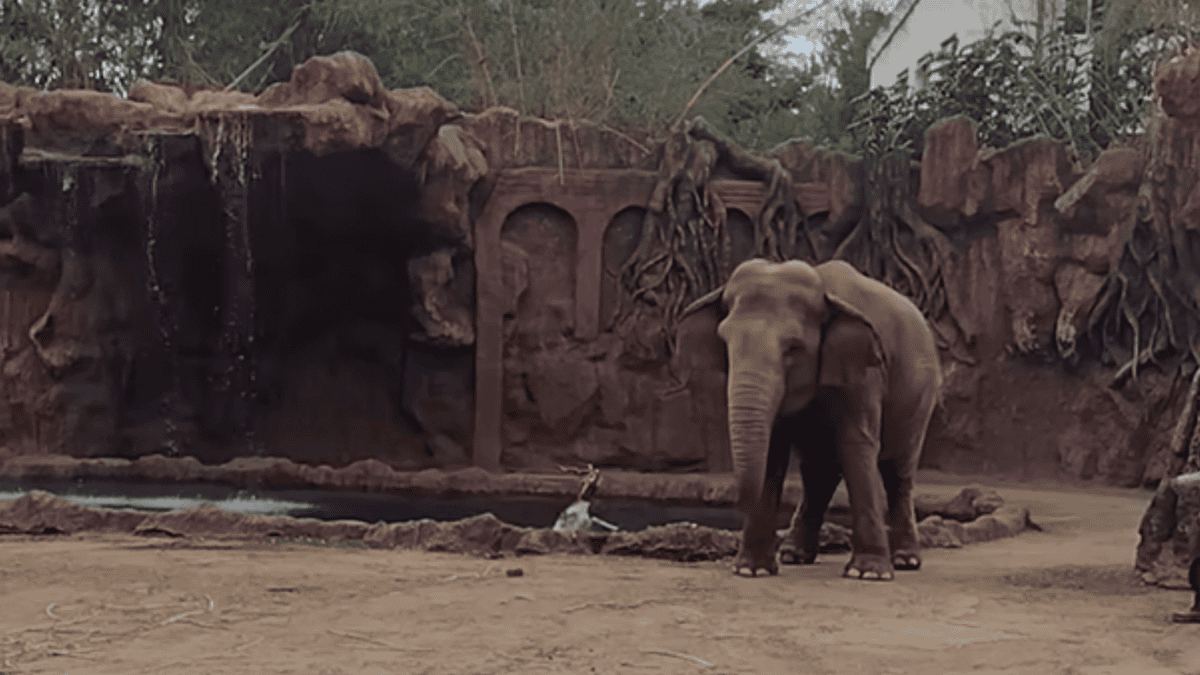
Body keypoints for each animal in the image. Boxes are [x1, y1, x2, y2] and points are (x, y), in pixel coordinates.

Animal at [676, 258, 942, 581]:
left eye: (793, 348)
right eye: (724, 343)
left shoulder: (866, 371)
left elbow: (857, 445)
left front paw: (868, 574)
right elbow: (773, 452)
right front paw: (752, 570)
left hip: (921, 395)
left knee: (897, 471)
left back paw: (906, 561)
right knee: (819, 471)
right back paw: (794, 556)